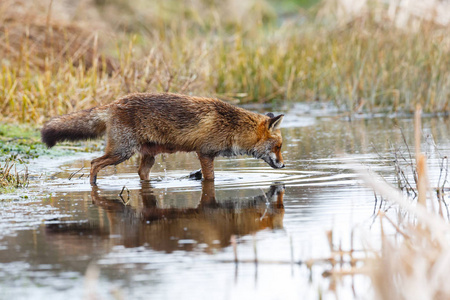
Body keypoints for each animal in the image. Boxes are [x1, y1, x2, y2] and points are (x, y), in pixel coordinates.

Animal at [39, 92, 284, 185]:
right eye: (278, 147)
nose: (283, 165)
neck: (232, 125)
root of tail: (114, 103)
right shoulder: (204, 153)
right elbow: (211, 179)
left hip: (148, 156)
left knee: (141, 174)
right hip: (122, 153)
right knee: (94, 163)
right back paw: (93, 185)